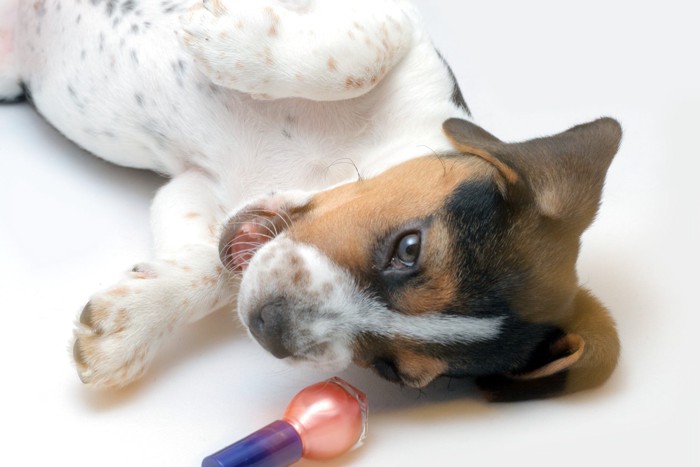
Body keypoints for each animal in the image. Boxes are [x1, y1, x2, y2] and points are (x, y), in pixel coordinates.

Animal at [2, 0, 620, 402]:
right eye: (409, 247)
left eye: (393, 372)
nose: (269, 328)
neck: (319, 166)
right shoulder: (398, 25)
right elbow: (356, 59)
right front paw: (222, 34)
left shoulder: (191, 186)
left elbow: (207, 268)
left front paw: (132, 325)